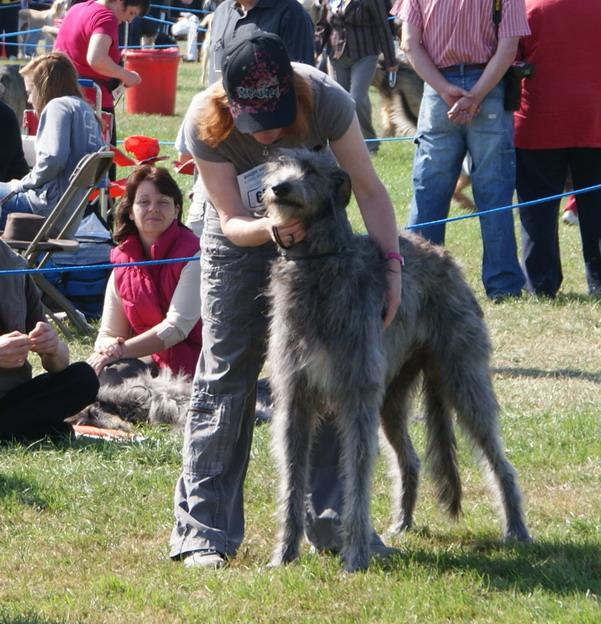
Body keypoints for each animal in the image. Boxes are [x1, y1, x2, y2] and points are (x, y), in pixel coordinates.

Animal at [264, 149, 528, 572]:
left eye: (312, 169)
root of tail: (444, 255)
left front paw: (355, 557)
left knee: (499, 461)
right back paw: (402, 523)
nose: (279, 188)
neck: (318, 264)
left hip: (463, 377)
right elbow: (292, 480)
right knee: (411, 461)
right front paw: (284, 555)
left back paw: (517, 530)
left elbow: (357, 480)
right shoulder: (295, 399)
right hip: (391, 396)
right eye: (276, 166)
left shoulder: (357, 398)